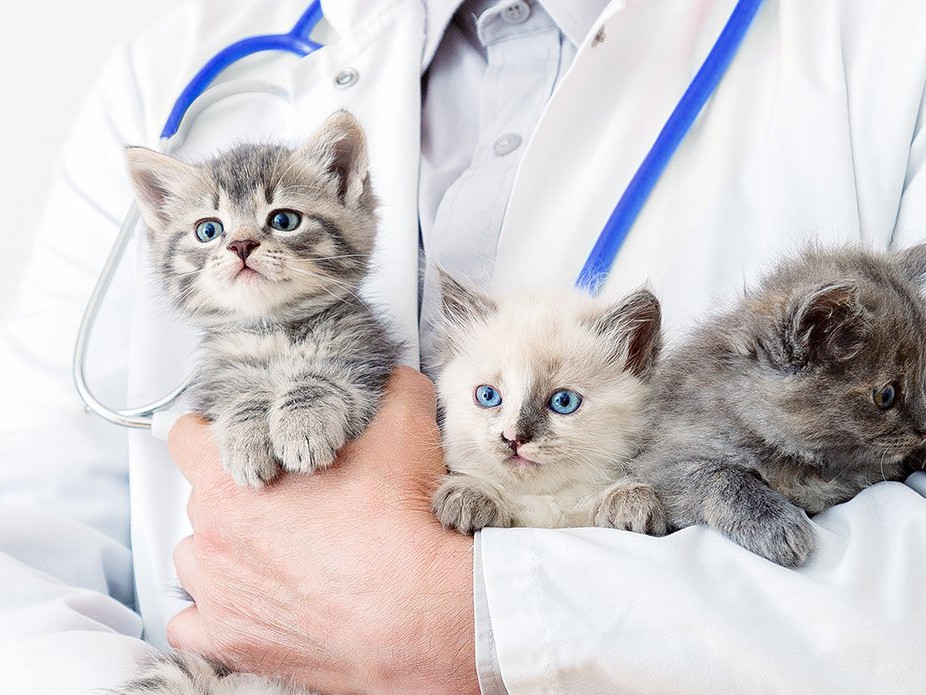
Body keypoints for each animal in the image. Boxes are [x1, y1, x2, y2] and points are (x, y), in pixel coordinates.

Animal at [115, 111, 399, 694]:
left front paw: (303, 423)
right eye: (209, 229)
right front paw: (248, 433)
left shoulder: (367, 364)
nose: (241, 245)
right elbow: (238, 397)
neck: (273, 333)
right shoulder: (214, 385)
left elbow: (323, 382)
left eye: (284, 219)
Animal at [430, 270, 667, 533]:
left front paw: (628, 501)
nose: (513, 438)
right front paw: (470, 494)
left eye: (563, 401)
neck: (542, 503)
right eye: (488, 396)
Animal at [622, 244, 926, 567]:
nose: (924, 430)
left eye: (923, 380)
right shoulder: (660, 463)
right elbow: (722, 475)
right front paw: (776, 524)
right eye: (886, 396)